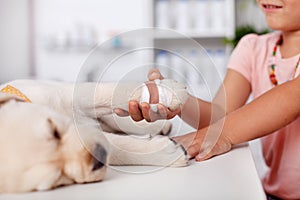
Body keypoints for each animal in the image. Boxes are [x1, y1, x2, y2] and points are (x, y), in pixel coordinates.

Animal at [0, 79, 188, 193]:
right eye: (59, 178)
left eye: (55, 131)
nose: (98, 157)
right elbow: (119, 149)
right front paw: (167, 154)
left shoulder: (67, 95)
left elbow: (111, 92)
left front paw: (168, 93)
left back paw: (160, 124)